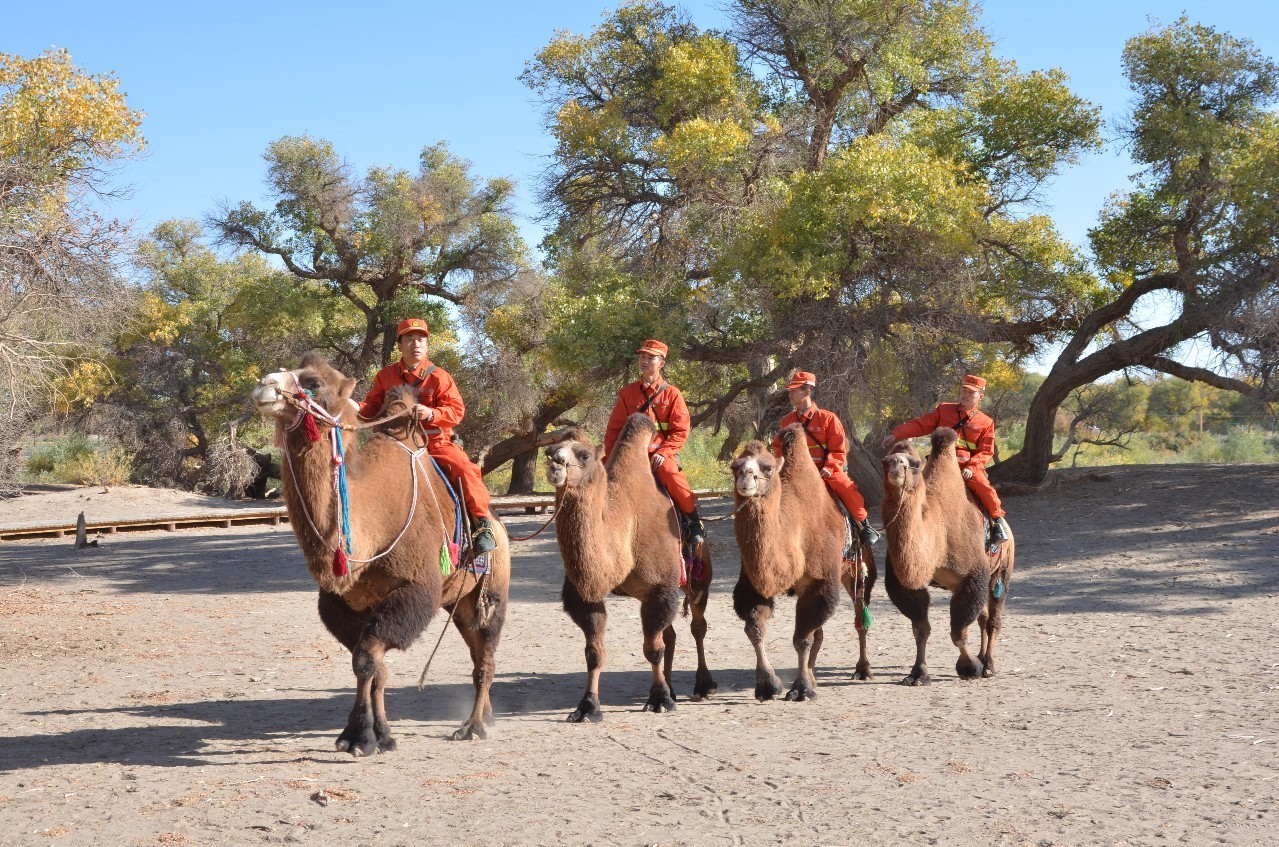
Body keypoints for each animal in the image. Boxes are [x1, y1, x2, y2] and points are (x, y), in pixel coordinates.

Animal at [249, 355, 509, 752]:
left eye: (314, 383)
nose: (265, 385)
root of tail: (503, 528)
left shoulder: (415, 590)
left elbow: (366, 659)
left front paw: (362, 736)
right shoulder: (341, 603)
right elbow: (373, 666)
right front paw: (375, 734)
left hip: (493, 590)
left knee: (487, 656)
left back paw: (473, 726)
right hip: (460, 601)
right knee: (476, 649)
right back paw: (487, 716)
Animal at [542, 414, 716, 721]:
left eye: (584, 455)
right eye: (550, 450)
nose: (555, 463)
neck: (625, 528)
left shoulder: (660, 589)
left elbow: (653, 649)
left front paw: (659, 700)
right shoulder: (586, 595)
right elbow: (594, 651)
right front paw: (587, 706)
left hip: (698, 580)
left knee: (698, 626)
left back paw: (703, 686)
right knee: (670, 635)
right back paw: (672, 688)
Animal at [731, 432, 879, 701]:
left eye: (768, 467)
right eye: (734, 466)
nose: (746, 477)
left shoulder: (820, 583)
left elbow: (801, 638)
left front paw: (801, 690)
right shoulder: (754, 583)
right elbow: (755, 630)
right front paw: (769, 685)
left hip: (858, 568)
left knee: (860, 616)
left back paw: (863, 670)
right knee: (819, 632)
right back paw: (813, 675)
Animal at [885, 427, 1012, 685]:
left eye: (914, 464)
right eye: (885, 461)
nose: (894, 464)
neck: (937, 536)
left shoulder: (973, 576)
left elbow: (958, 632)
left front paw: (969, 667)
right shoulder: (907, 585)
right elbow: (920, 629)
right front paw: (918, 673)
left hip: (1002, 570)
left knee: (993, 619)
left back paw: (988, 666)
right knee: (983, 617)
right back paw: (983, 658)